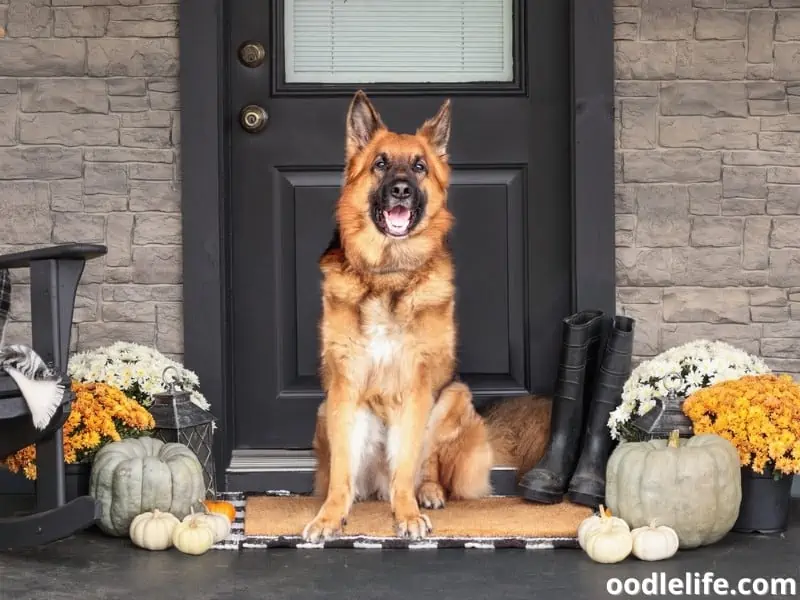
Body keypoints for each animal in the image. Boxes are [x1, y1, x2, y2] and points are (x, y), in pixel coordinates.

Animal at [304, 90, 552, 544]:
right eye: (380, 163)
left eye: (419, 167)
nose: (401, 190)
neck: (388, 274)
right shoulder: (345, 386)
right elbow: (342, 472)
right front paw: (330, 517)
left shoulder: (417, 387)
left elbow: (407, 465)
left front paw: (407, 514)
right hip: (325, 408)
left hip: (454, 395)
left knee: (425, 465)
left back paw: (428, 492)